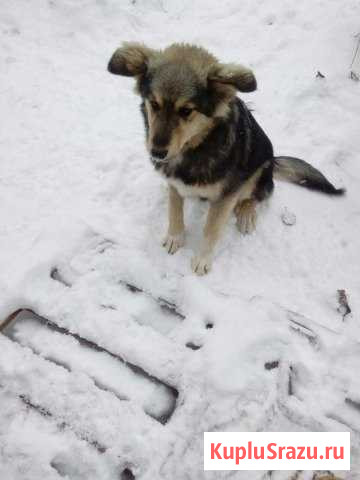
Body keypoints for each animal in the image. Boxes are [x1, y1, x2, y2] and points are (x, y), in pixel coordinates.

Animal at [107, 43, 346, 276]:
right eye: (154, 104)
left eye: (186, 111)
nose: (157, 153)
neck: (196, 148)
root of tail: (274, 160)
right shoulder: (174, 183)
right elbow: (174, 210)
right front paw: (175, 237)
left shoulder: (227, 195)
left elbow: (211, 229)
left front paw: (202, 259)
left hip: (257, 173)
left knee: (260, 194)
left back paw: (246, 214)